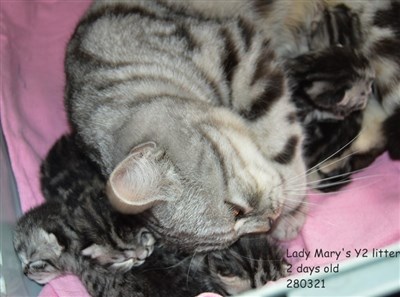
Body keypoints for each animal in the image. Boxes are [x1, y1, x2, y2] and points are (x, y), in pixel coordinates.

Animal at [65, 0, 310, 250]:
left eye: (236, 210)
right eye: (234, 233)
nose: (270, 222)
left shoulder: (239, 50)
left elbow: (280, 139)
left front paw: (292, 207)